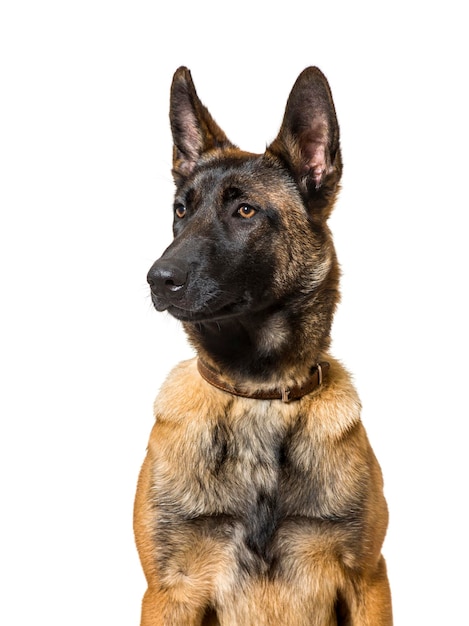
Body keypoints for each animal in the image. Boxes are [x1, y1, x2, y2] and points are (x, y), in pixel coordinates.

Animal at [133, 66, 392, 620]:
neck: (259, 393)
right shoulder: (169, 590)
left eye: (246, 211)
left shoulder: (368, 580)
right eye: (180, 211)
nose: (157, 279)